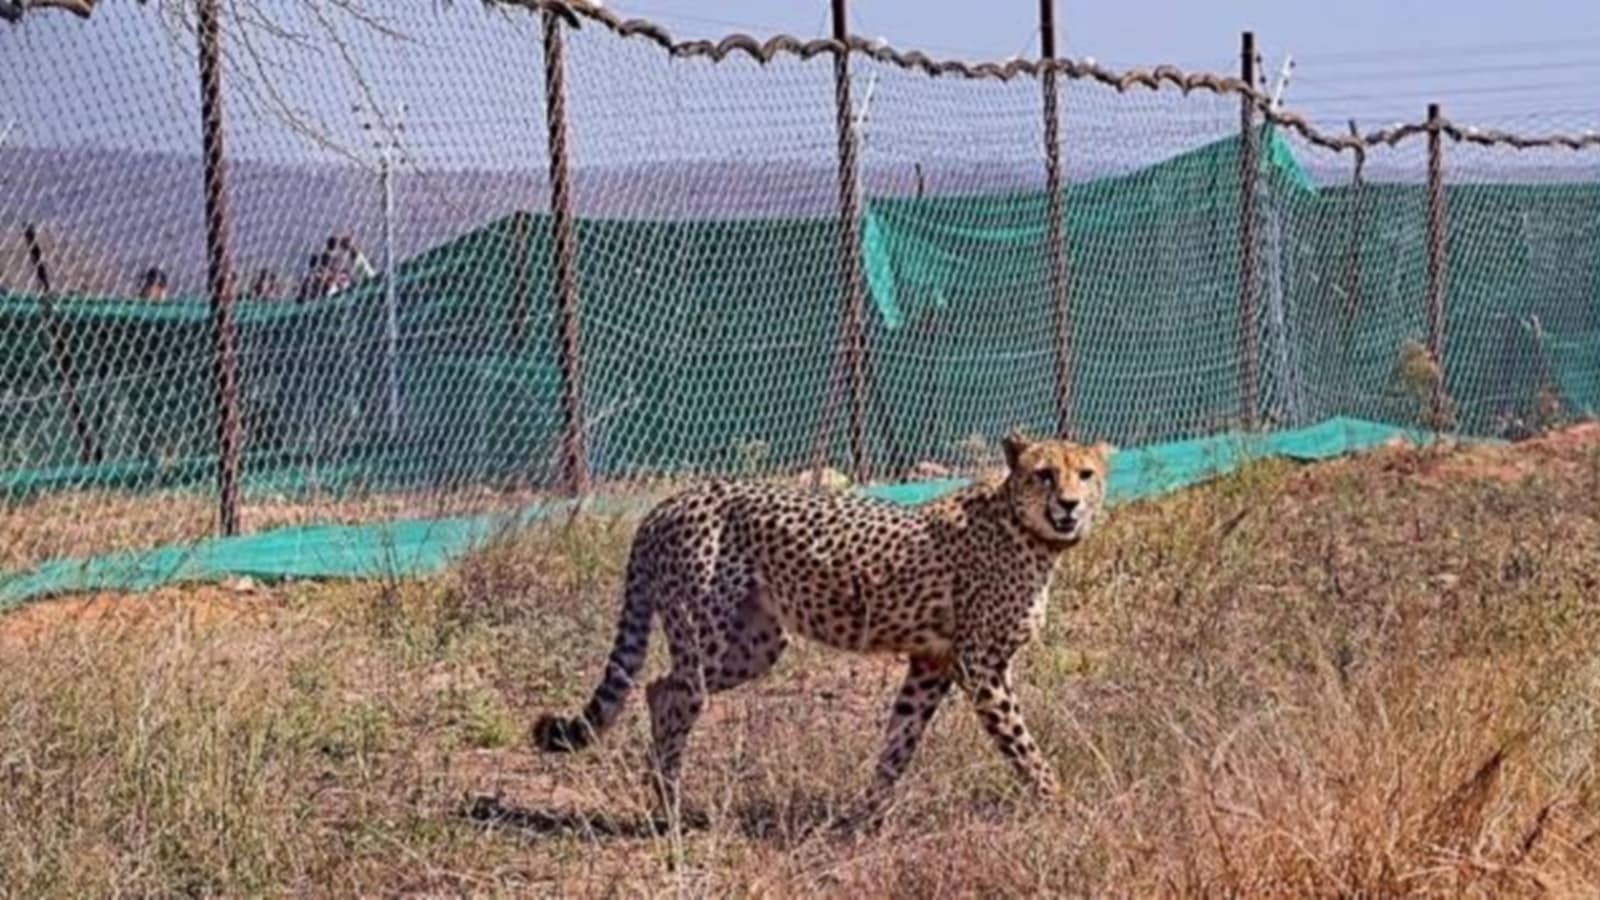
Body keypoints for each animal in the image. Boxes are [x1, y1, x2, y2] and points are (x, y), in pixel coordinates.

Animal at [534, 432, 1113, 826]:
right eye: (1044, 473)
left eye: (1085, 474)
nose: (1069, 504)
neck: (1027, 530)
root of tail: (668, 502)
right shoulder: (981, 667)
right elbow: (1022, 744)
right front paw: (1063, 804)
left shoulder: (932, 663)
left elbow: (899, 741)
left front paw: (867, 815)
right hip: (707, 634)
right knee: (676, 694)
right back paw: (671, 808)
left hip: (756, 646)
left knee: (658, 687)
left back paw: (664, 797)